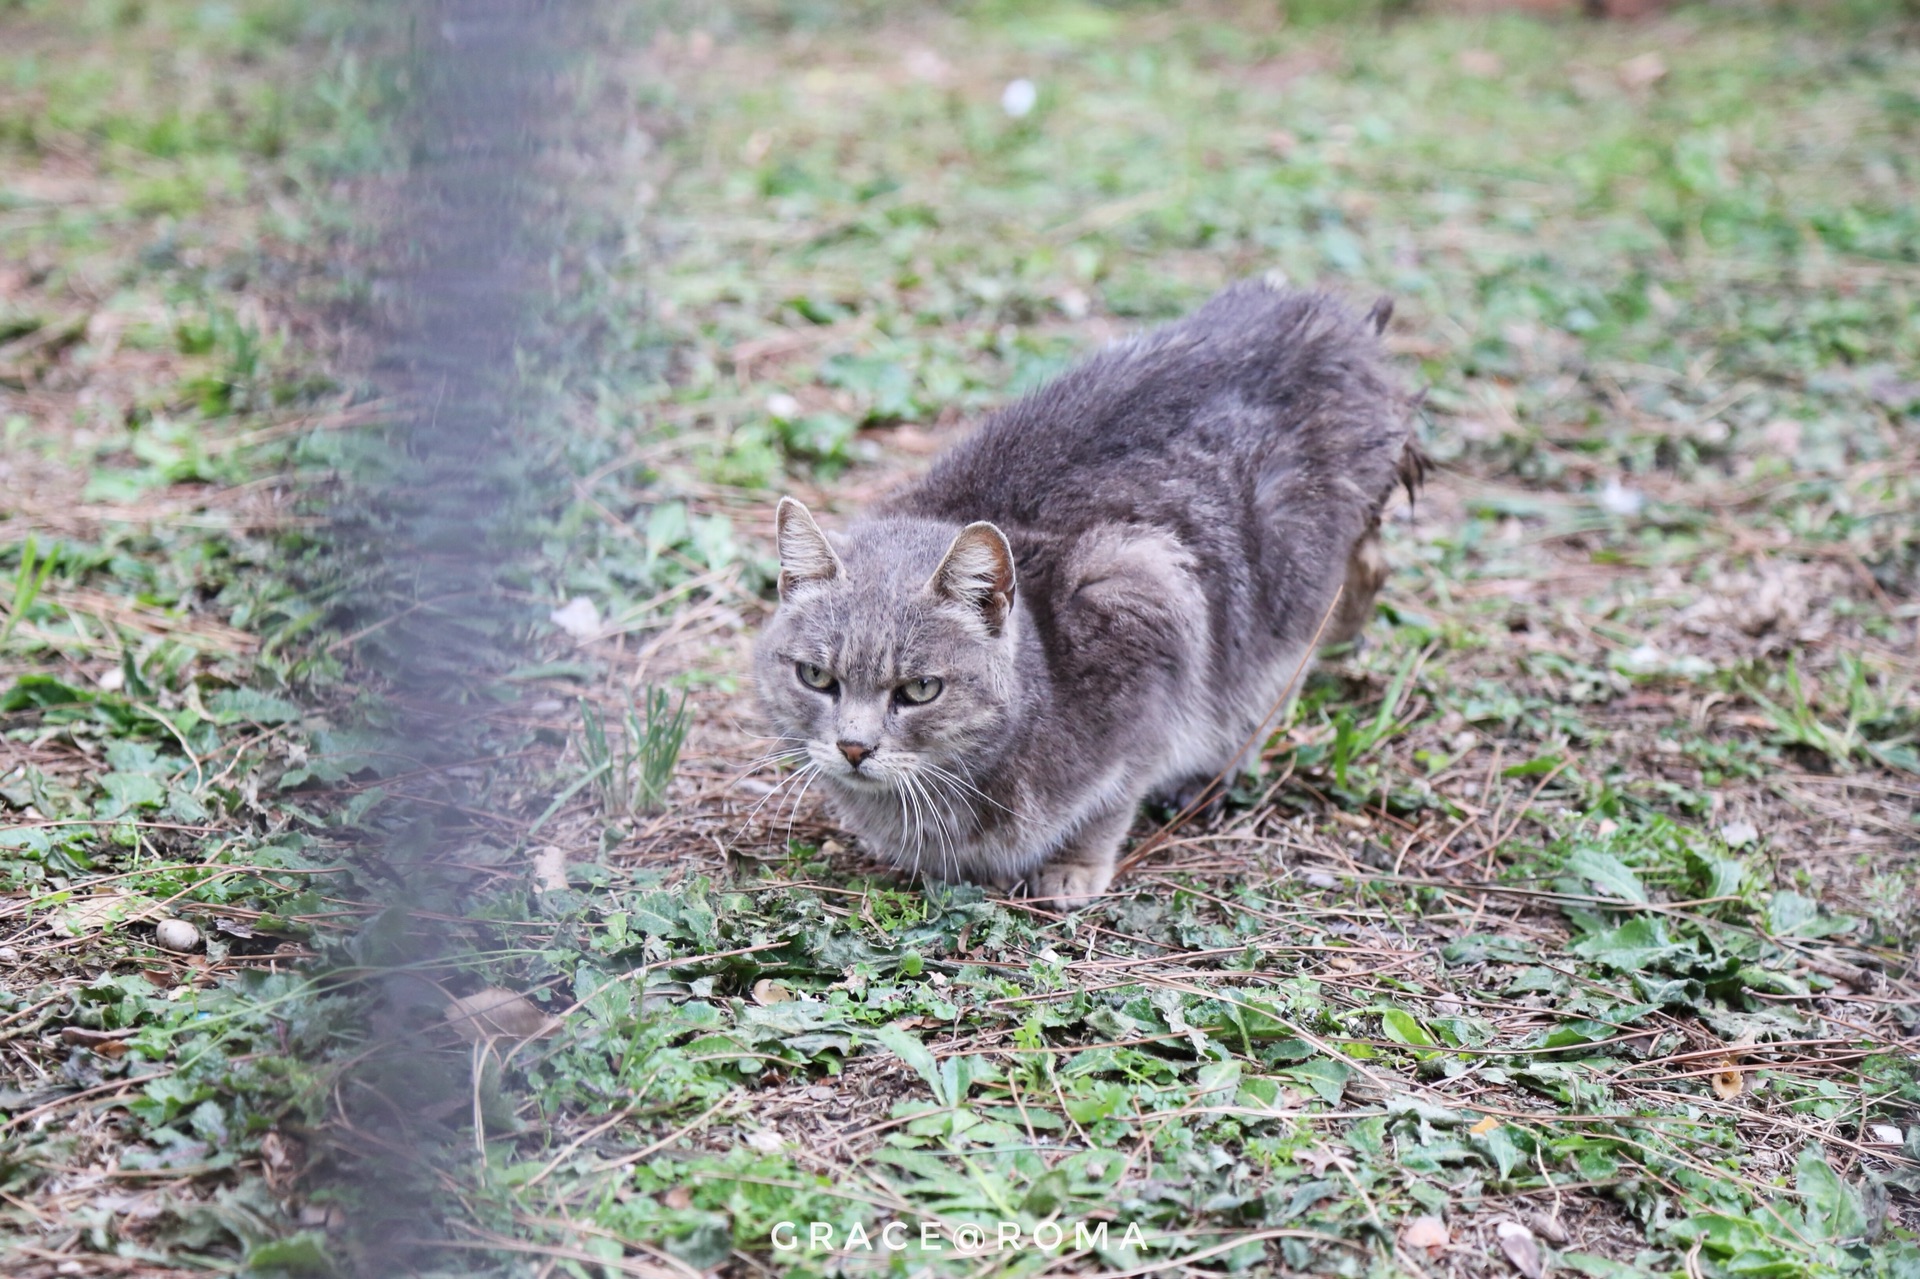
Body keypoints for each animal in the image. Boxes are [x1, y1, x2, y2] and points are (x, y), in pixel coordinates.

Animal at [756, 274, 1420, 902]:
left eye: (920, 689)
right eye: (816, 678)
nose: (853, 748)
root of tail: (1328, 319)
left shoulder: (1145, 604)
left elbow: (1113, 795)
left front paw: (1074, 865)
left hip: (1282, 592)